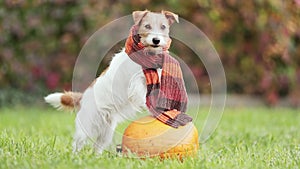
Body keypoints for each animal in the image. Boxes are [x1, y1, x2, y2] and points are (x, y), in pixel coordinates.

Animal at [44, 9, 179, 154]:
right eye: (147, 26)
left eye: (163, 27)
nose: (156, 40)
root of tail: (82, 97)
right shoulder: (135, 83)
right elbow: (142, 95)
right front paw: (149, 106)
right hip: (87, 125)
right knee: (78, 143)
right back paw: (75, 156)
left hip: (106, 131)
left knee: (97, 146)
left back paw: (96, 157)